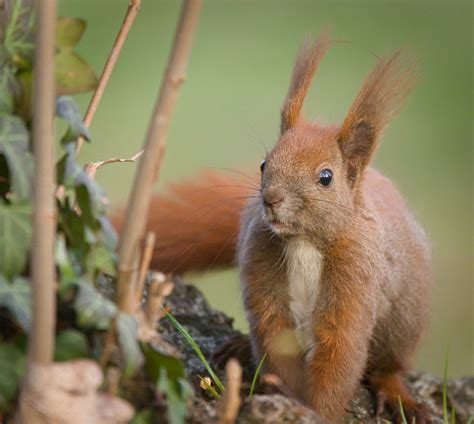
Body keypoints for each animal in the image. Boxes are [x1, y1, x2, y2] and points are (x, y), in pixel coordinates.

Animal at [113, 34, 432, 424]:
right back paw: (240, 347)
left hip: (404, 320)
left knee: (390, 365)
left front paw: (318, 413)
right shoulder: (263, 272)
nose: (271, 199)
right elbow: (276, 339)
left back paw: (397, 392)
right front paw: (288, 398)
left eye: (326, 177)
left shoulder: (355, 280)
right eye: (264, 164)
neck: (303, 242)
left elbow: (339, 355)